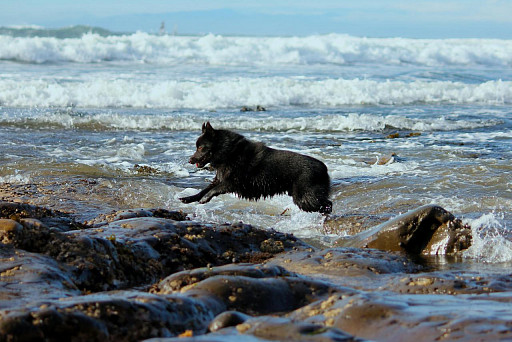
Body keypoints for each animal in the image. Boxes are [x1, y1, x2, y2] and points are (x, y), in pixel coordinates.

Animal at [179, 122, 332, 214]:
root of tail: (324, 168)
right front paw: (188, 198)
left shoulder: (232, 183)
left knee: (328, 205)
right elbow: (203, 190)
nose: (190, 160)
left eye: (200, 148)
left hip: (304, 198)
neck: (229, 152)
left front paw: (205, 199)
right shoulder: (219, 180)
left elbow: (213, 190)